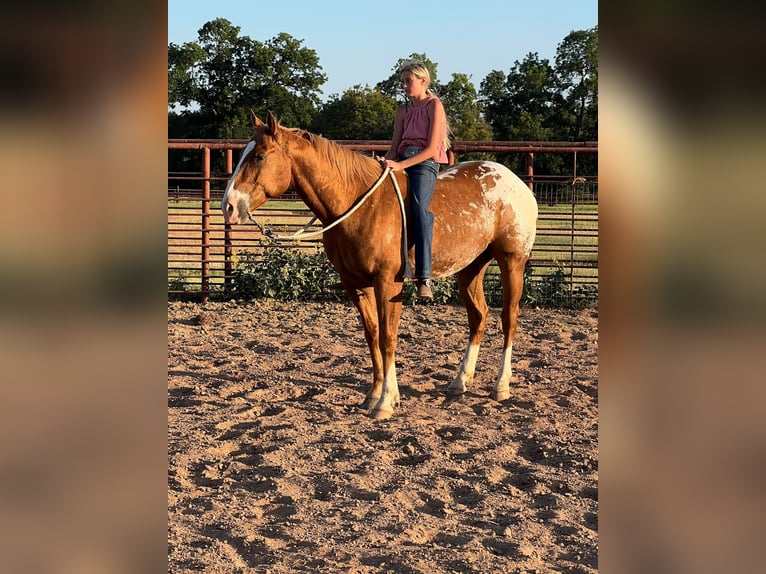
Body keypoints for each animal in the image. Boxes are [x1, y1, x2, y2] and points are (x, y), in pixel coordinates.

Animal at [222, 110, 540, 420]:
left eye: (259, 156)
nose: (228, 206)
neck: (360, 204)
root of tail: (516, 183)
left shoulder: (388, 282)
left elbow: (388, 337)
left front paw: (386, 401)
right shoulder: (355, 284)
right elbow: (372, 335)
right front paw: (374, 394)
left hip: (512, 262)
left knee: (509, 319)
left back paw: (501, 386)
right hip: (470, 268)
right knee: (478, 317)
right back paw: (460, 381)